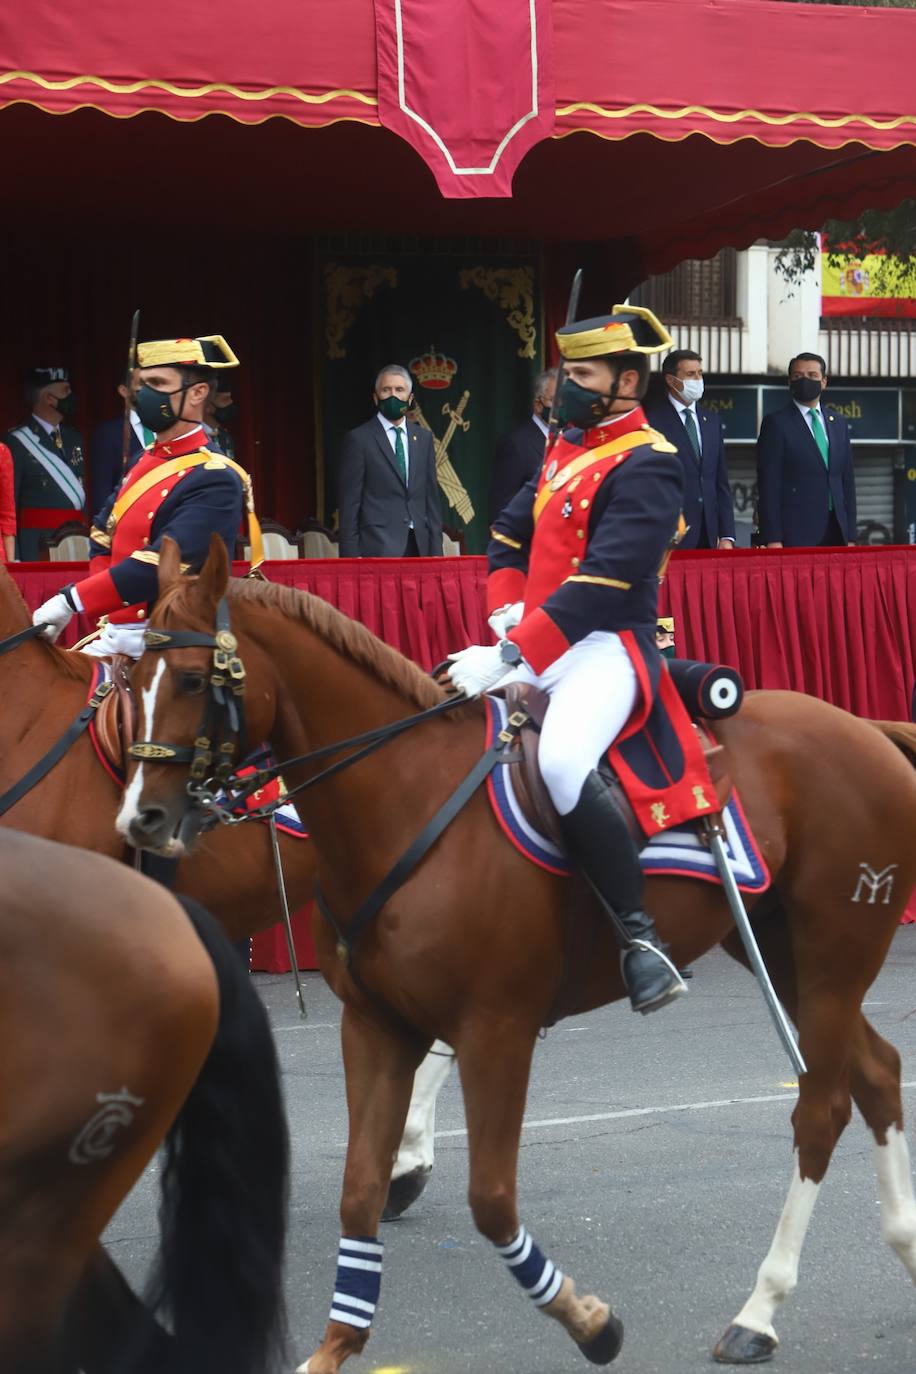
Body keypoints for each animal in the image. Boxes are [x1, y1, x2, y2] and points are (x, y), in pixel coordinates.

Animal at [123, 535, 916, 1374]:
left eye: (191, 677)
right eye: (129, 677)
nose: (142, 819)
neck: (404, 794)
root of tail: (865, 728)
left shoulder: (496, 1030)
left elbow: (492, 1200)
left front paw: (591, 1323)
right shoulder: (375, 1024)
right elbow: (358, 1187)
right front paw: (336, 1345)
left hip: (832, 958)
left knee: (823, 1107)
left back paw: (760, 1310)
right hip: (777, 947)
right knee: (877, 1072)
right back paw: (902, 1249)